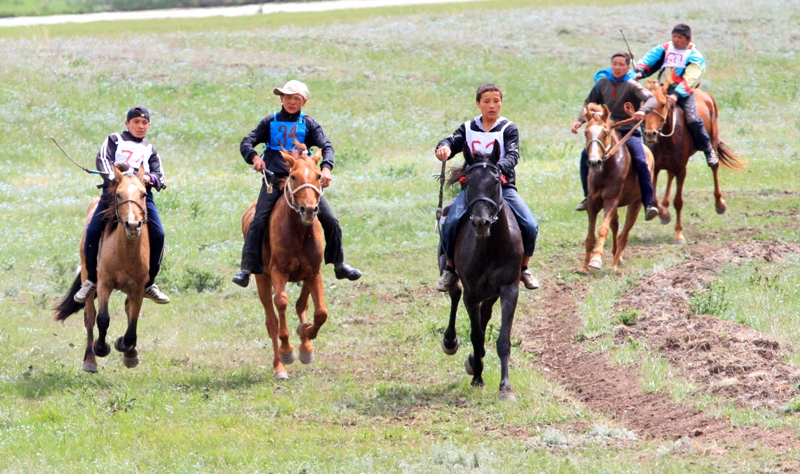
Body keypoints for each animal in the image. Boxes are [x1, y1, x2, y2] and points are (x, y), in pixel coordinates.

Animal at [55, 165, 152, 372]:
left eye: (143, 194)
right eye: (118, 195)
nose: (133, 225)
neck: (125, 252)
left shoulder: (138, 288)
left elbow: (133, 321)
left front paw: (127, 349)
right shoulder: (104, 283)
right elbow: (103, 318)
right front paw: (101, 348)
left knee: (127, 309)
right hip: (88, 276)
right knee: (90, 316)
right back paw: (90, 360)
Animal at [239, 146, 326, 380]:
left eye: (318, 176)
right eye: (293, 176)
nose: (308, 209)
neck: (299, 233)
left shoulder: (313, 272)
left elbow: (319, 312)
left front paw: (306, 340)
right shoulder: (278, 272)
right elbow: (281, 304)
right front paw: (288, 352)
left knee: (302, 305)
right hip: (262, 278)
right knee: (272, 322)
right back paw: (279, 367)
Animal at [440, 140, 520, 400]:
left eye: (495, 181)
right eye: (468, 182)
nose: (480, 222)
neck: (490, 246)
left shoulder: (509, 289)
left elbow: (502, 339)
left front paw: (505, 388)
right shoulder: (472, 293)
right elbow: (475, 335)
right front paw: (477, 378)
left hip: (491, 293)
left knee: (485, 316)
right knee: (454, 293)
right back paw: (451, 342)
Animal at [580, 103, 656, 274]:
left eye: (606, 132)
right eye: (586, 132)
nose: (594, 162)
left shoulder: (611, 201)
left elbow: (603, 230)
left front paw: (596, 260)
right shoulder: (593, 203)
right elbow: (590, 236)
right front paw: (584, 267)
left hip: (636, 203)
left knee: (624, 234)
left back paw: (614, 265)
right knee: (616, 226)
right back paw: (617, 257)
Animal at [640, 79, 748, 243]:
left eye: (663, 104)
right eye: (644, 104)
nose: (649, 134)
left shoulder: (682, 168)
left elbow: (678, 201)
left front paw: (678, 234)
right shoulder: (656, 167)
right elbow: (654, 197)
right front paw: (664, 214)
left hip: (712, 142)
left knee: (714, 167)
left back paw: (720, 204)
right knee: (670, 175)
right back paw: (665, 204)